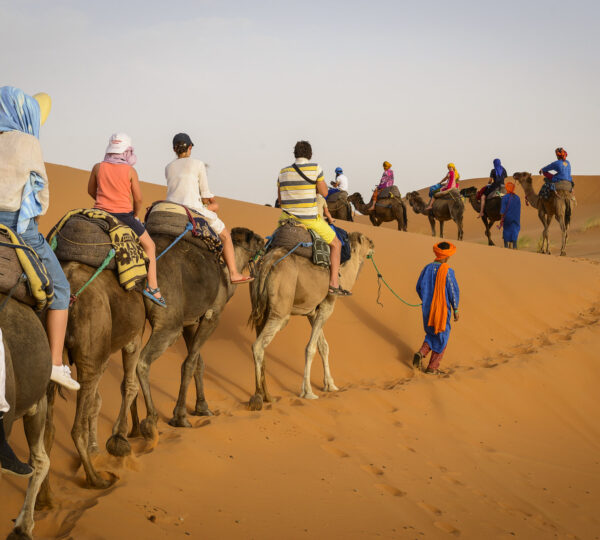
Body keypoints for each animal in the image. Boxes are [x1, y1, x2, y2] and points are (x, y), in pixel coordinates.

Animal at [137, 226, 264, 440]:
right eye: (257, 240)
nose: (265, 243)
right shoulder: (212, 316)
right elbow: (189, 363)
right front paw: (180, 416)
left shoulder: (190, 322)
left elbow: (198, 362)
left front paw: (202, 407)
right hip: (168, 322)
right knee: (142, 362)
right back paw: (150, 421)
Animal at [246, 230, 372, 412]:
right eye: (368, 240)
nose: (373, 245)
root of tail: (267, 265)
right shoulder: (327, 306)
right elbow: (310, 348)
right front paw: (308, 392)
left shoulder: (312, 312)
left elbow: (323, 346)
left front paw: (330, 385)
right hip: (281, 311)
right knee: (258, 345)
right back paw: (258, 397)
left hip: (259, 306)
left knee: (261, 344)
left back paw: (268, 396)